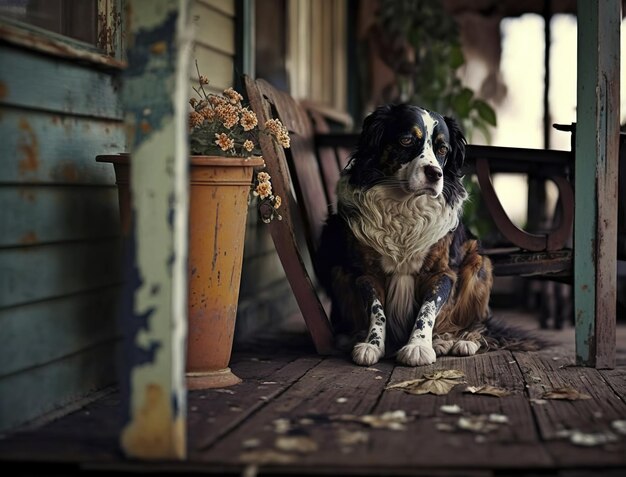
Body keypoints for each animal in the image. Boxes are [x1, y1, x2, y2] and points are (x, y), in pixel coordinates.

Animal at [314, 103, 540, 364]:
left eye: (442, 149)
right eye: (406, 140)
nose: (435, 173)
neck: (404, 206)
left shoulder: (440, 272)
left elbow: (428, 310)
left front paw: (419, 346)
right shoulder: (367, 272)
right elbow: (377, 311)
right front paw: (372, 344)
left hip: (479, 261)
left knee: (479, 325)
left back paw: (459, 341)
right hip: (335, 259)